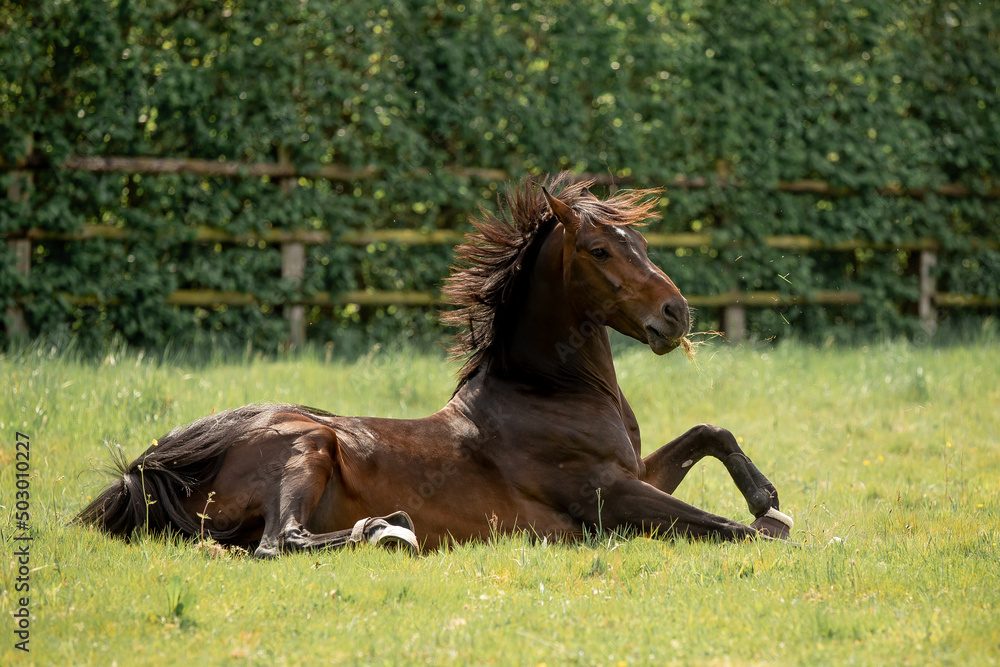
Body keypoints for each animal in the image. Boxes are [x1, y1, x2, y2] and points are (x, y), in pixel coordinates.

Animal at [76, 174, 793, 558]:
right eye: (599, 251)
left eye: (638, 241)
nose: (676, 314)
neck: (547, 393)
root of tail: (152, 467)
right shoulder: (608, 496)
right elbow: (736, 531)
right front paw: (772, 521)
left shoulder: (636, 473)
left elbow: (709, 433)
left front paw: (768, 496)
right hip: (306, 444)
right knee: (283, 542)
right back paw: (384, 530)